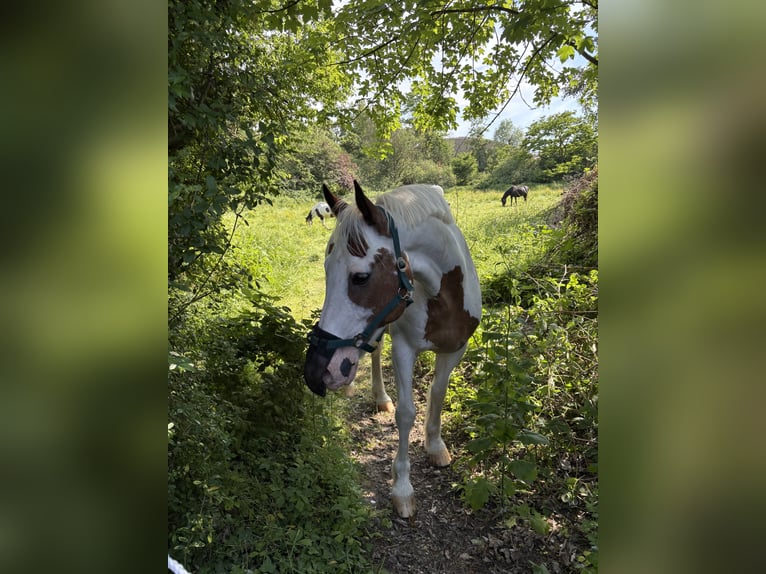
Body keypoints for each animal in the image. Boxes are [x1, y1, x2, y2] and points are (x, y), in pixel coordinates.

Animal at [304, 180, 482, 518]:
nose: (316, 372)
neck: (443, 297)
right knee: (373, 353)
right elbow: (406, 413)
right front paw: (402, 489)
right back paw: (376, 395)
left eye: (361, 277)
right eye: (326, 269)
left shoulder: (456, 349)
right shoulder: (403, 349)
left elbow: (438, 393)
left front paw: (435, 445)